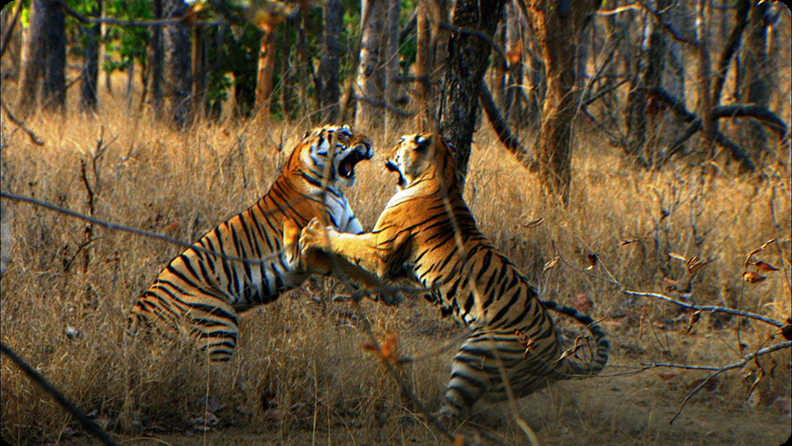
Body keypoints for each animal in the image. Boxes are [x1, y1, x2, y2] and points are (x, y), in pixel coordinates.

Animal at [128, 123, 376, 360]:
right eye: (344, 134)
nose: (369, 143)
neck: (333, 186)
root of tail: (138, 311)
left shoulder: (352, 233)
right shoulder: (308, 249)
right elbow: (342, 265)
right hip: (219, 323)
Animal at [300, 132, 608, 418]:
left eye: (400, 142)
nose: (382, 149)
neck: (442, 173)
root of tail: (559, 358)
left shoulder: (381, 248)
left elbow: (348, 242)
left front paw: (314, 233)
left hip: (475, 356)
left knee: (454, 413)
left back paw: (421, 418)